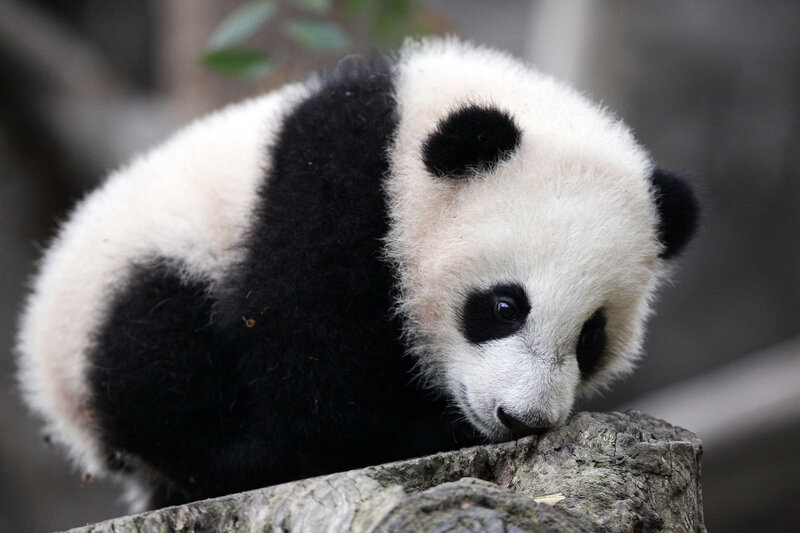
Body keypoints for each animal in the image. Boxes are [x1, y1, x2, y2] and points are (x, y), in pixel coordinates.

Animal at [16, 37, 698, 510]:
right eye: (505, 306)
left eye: (591, 337)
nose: (521, 420)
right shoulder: (331, 190)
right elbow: (311, 370)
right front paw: (424, 432)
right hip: (136, 281)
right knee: (161, 368)